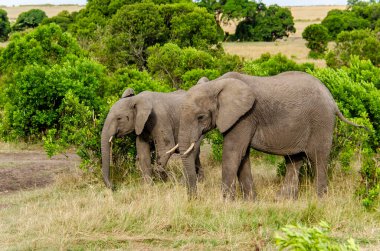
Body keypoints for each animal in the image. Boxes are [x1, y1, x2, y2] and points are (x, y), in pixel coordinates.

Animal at [179, 72, 368, 200]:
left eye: (200, 117)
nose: (194, 198)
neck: (216, 84)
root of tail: (333, 100)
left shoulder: (245, 117)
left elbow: (233, 153)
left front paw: (226, 202)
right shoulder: (242, 119)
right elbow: (242, 155)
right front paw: (251, 202)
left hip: (321, 121)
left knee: (318, 157)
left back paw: (319, 199)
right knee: (294, 160)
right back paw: (283, 200)